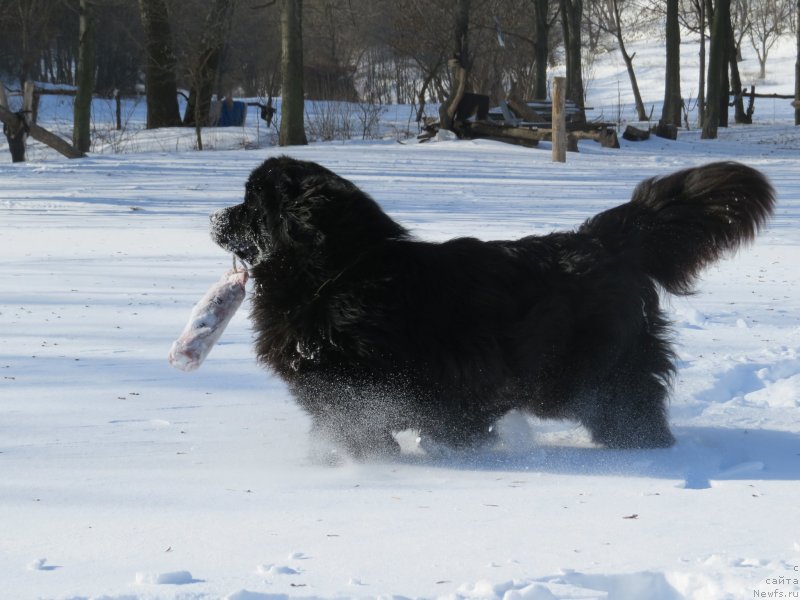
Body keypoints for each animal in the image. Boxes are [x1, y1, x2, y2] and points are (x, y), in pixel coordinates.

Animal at [209, 156, 772, 460]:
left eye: (252, 204)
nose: (214, 216)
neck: (339, 273)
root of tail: (602, 240)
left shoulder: (360, 384)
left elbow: (364, 427)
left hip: (585, 370)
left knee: (630, 398)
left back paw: (641, 447)